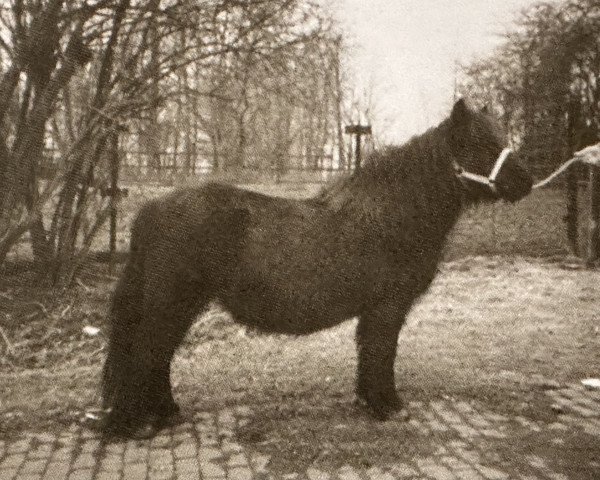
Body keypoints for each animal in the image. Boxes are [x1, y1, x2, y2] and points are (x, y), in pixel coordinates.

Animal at [101, 99, 532, 436]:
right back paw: (135, 423)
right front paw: (388, 405)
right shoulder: (387, 308)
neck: (391, 217)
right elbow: (382, 354)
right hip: (171, 303)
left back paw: (165, 413)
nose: (526, 182)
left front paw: (370, 401)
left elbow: (370, 353)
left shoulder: (375, 312)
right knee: (148, 350)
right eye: (480, 143)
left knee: (158, 354)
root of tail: (151, 209)